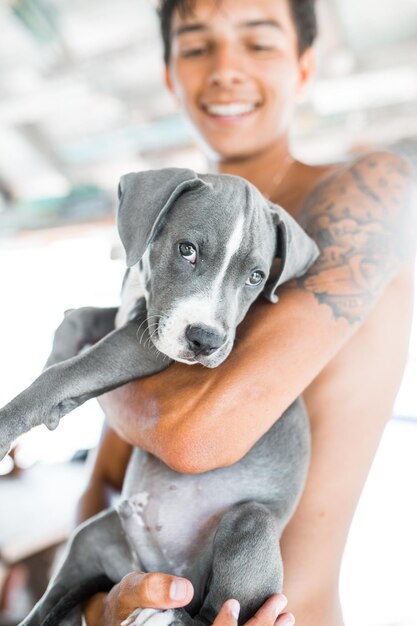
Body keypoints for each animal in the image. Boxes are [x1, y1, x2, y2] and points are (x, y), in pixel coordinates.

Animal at [0, 167, 318, 624]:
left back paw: (163, 613)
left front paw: (8, 423)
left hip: (251, 522)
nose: (206, 340)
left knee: (215, 610)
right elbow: (77, 320)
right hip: (92, 539)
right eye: (187, 250)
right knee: (52, 603)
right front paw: (55, 360)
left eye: (257, 277)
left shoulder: (143, 343)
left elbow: (67, 373)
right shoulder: (132, 320)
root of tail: (161, 570)